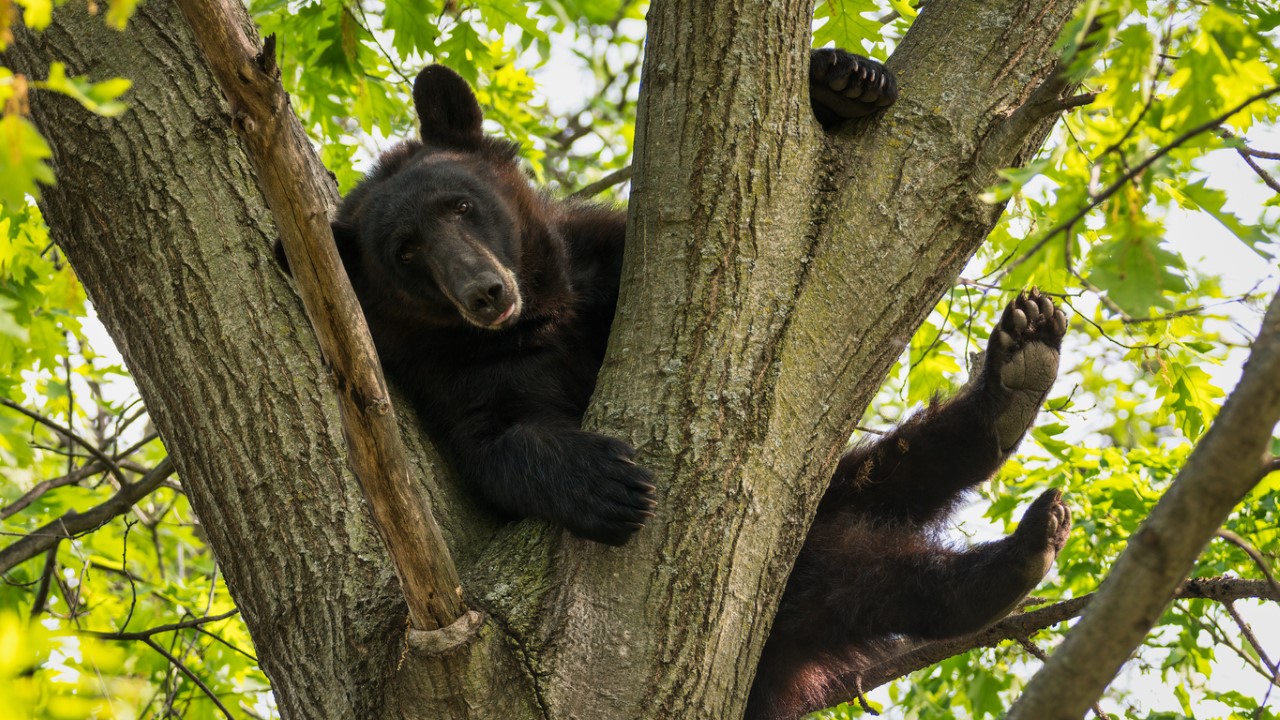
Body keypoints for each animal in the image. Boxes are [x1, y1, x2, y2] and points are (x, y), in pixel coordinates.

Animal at [290, 51, 1070, 717]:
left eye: (459, 205)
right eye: (405, 252)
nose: (484, 291)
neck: (542, 313)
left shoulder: (603, 262)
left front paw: (846, 80)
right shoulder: (456, 378)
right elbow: (496, 443)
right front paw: (605, 483)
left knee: (891, 474)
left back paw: (1018, 373)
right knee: (853, 572)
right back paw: (1008, 559)